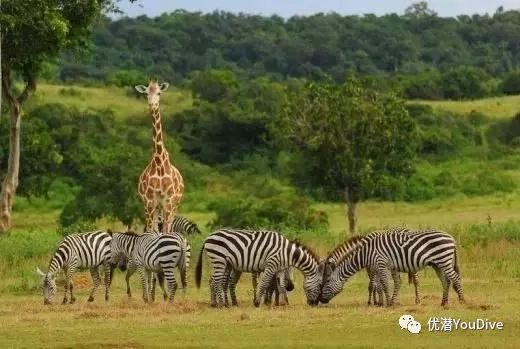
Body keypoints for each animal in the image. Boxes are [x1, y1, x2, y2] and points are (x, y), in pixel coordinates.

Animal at [135, 80, 184, 235]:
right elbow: (152, 231)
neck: (159, 162)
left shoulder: (168, 201)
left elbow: (166, 231)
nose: (152, 104)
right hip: (152, 206)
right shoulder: (150, 201)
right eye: (146, 93)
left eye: (159, 93)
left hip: (173, 204)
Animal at [196, 230, 324, 306]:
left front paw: (285, 303)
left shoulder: (280, 268)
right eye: (320, 285)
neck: (286, 252)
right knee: (216, 281)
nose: (314, 303)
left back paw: (215, 303)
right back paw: (222, 304)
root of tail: (208, 237)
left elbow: (281, 285)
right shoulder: (271, 265)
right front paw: (258, 302)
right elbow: (264, 283)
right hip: (219, 259)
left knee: (214, 281)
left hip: (223, 263)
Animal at [318, 230, 466, 306]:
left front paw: (387, 303)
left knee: (455, 278)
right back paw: (443, 302)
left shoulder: (381, 264)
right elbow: (389, 284)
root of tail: (451, 238)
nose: (320, 300)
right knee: (445, 281)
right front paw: (390, 302)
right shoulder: (386, 267)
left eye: (326, 282)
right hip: (438, 264)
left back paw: (462, 301)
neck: (366, 253)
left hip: (444, 260)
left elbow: (383, 284)